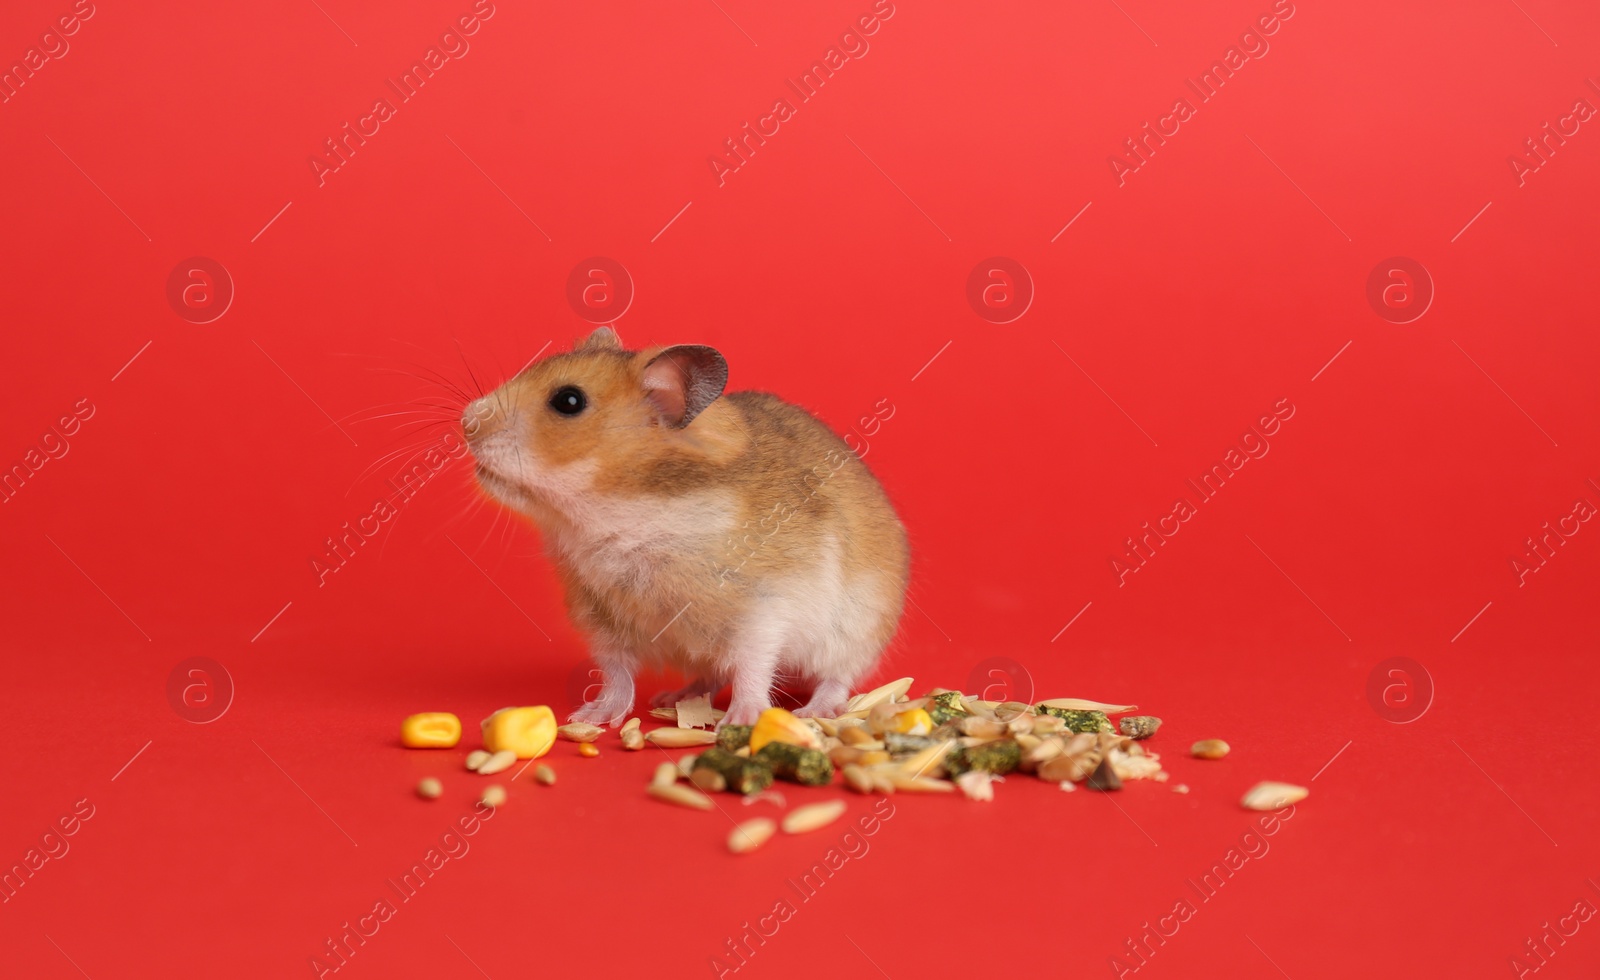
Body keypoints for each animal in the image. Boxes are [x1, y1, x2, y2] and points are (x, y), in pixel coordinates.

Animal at [464, 329, 915, 726]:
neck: (619, 516)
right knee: (711, 673)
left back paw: (812, 712)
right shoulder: (602, 618)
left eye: (568, 401)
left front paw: (742, 719)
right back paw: (677, 697)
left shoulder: (763, 609)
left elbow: (753, 666)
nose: (466, 422)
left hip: (856, 632)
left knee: (836, 678)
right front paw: (593, 716)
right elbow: (616, 673)